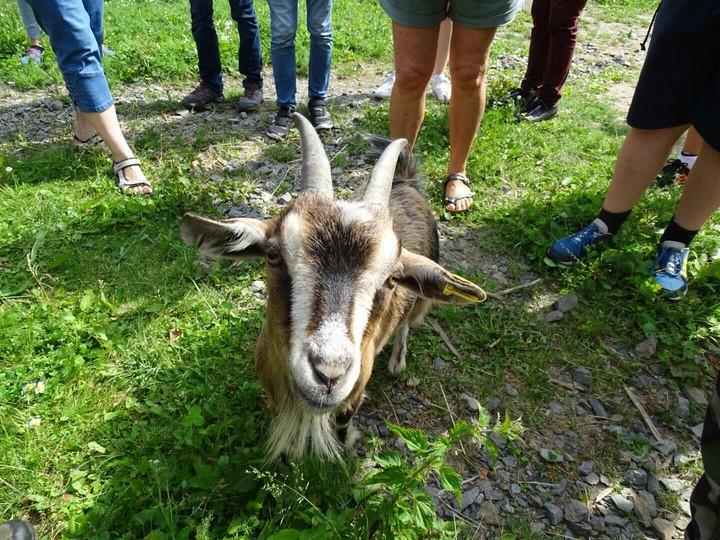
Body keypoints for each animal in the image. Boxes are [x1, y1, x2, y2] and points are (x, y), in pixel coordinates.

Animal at [180, 113, 487, 461]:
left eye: (391, 278)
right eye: (273, 256)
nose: (329, 374)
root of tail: (404, 181)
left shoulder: (354, 390)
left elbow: (343, 419)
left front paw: (347, 446)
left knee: (407, 322)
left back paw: (397, 361)